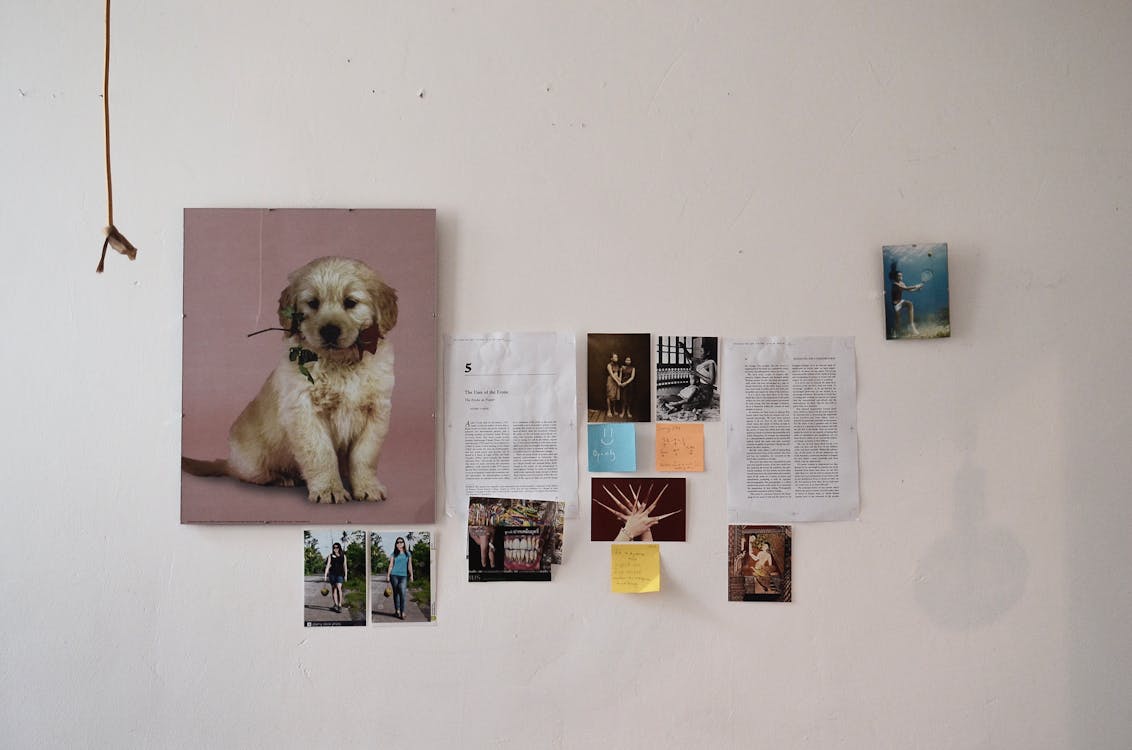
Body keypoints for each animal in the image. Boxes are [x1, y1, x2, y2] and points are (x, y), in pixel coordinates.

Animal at [182, 257, 398, 504]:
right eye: (313, 303)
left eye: (350, 302)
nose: (329, 331)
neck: (340, 362)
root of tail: (229, 461)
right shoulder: (304, 411)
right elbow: (321, 453)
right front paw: (329, 489)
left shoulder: (377, 411)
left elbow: (364, 455)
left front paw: (367, 486)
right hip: (253, 463)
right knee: (249, 475)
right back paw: (283, 478)